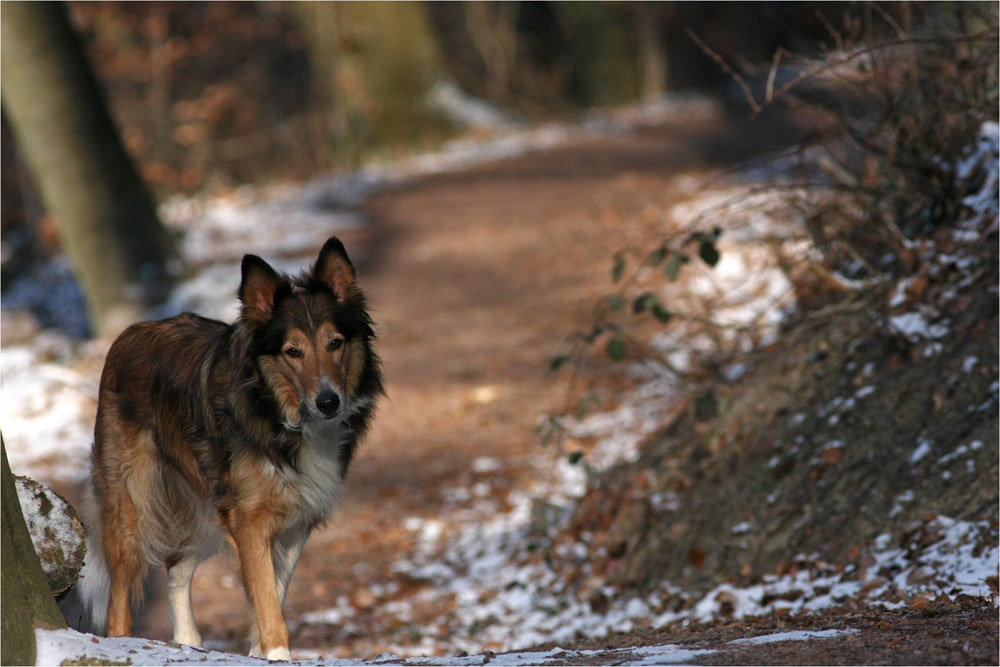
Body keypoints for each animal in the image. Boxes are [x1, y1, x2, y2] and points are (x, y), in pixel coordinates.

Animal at [63, 237, 382, 660]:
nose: (328, 402)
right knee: (120, 593)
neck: (276, 411)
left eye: (335, 344)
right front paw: (276, 653)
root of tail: (131, 333)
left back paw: (187, 642)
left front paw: (259, 653)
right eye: (292, 352)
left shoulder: (297, 522)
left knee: (177, 567)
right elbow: (267, 598)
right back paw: (123, 642)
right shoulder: (249, 519)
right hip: (133, 505)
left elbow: (272, 592)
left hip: (202, 506)